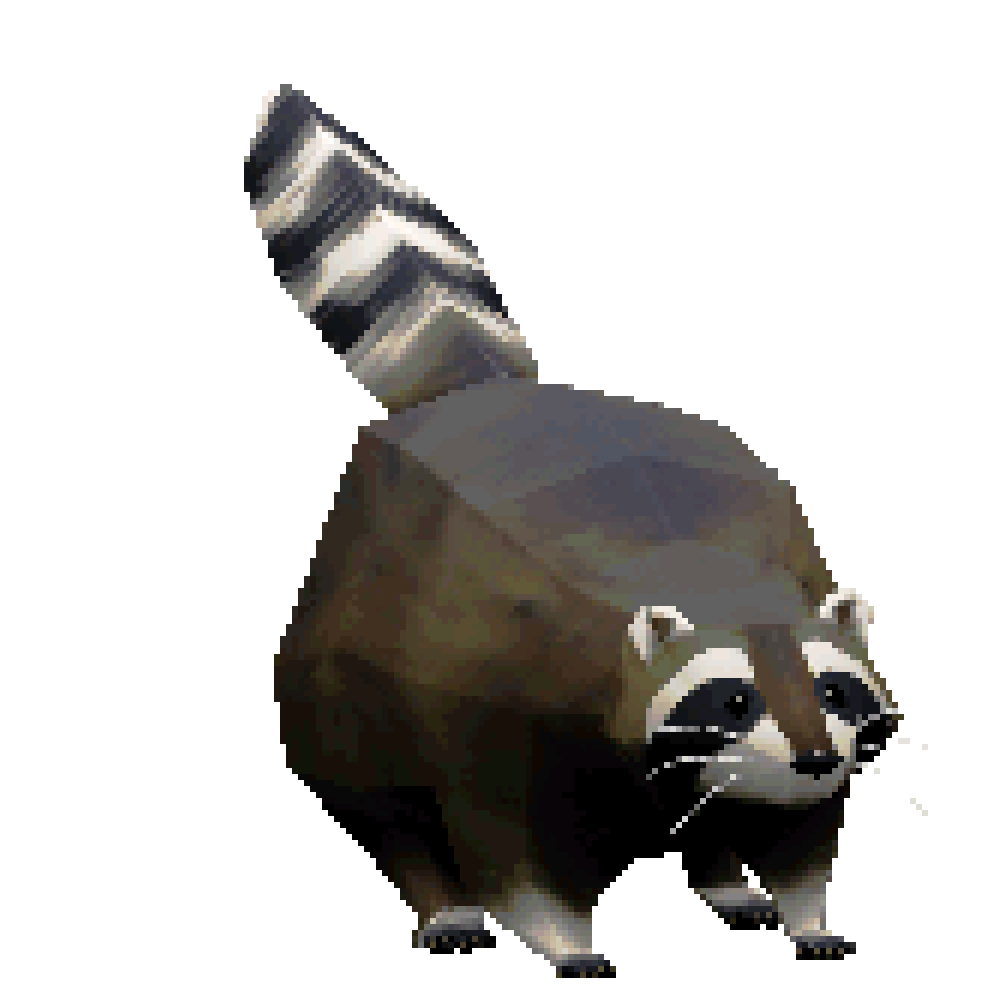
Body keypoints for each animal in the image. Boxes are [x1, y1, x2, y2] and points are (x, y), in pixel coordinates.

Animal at [245, 85, 901, 978]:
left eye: (836, 688)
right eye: (735, 698)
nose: (815, 757)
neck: (701, 572)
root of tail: (482, 399)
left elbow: (800, 837)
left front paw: (807, 916)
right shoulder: (502, 696)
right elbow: (519, 858)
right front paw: (567, 943)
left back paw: (723, 879)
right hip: (340, 650)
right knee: (376, 804)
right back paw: (441, 901)